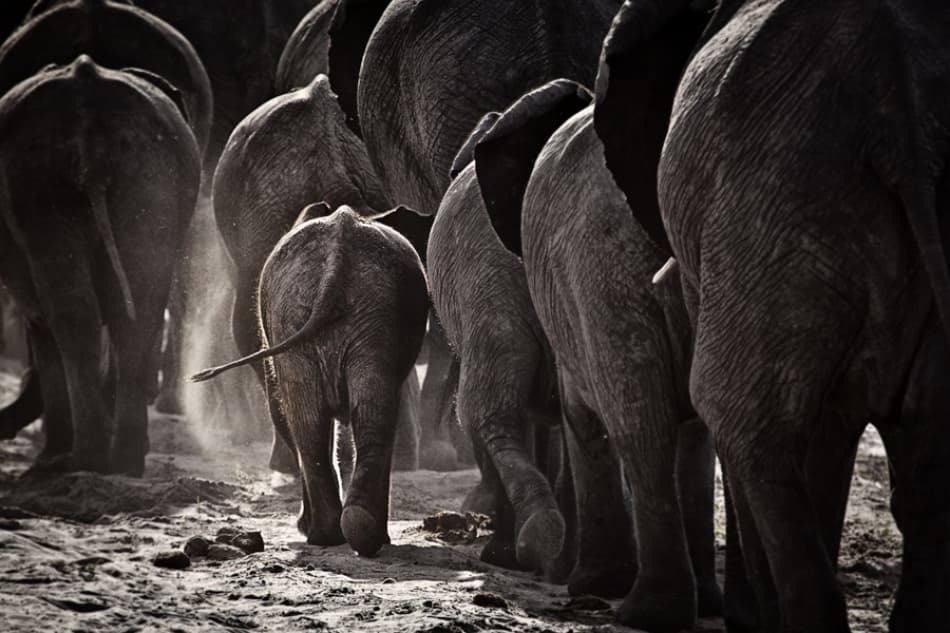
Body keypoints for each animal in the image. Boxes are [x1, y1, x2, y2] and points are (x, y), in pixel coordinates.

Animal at [0, 55, 200, 475]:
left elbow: (40, 321)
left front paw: (49, 457)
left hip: (35, 183)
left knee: (70, 315)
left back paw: (73, 460)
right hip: (152, 177)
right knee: (139, 310)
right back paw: (123, 461)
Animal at [192, 204, 429, 557]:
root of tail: (336, 263)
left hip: (339, 314)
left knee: (315, 422)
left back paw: (333, 533)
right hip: (339, 313)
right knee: (350, 417)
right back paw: (348, 533)